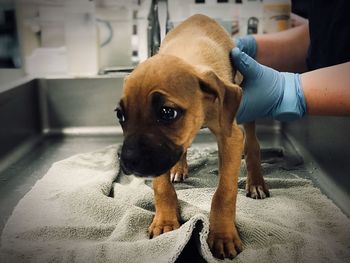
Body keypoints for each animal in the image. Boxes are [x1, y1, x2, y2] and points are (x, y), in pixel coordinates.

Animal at [116, 13, 270, 260]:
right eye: (120, 115)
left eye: (167, 112)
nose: (127, 161)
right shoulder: (160, 157)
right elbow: (161, 187)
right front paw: (165, 220)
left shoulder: (231, 137)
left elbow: (224, 192)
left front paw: (223, 235)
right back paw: (179, 168)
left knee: (253, 144)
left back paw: (255, 181)